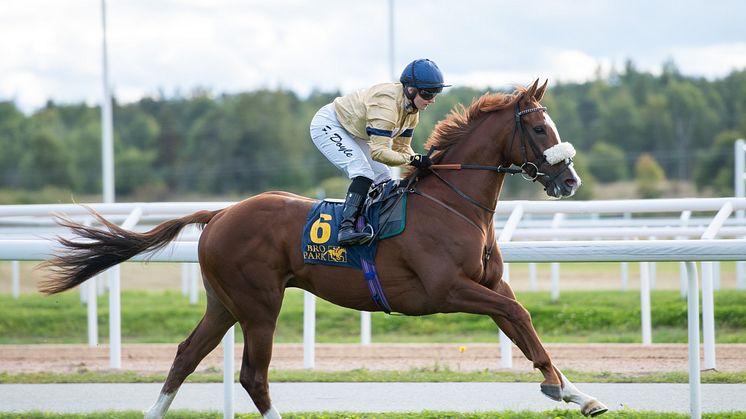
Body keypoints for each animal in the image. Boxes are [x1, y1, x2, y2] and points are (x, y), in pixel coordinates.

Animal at [40, 80, 608, 418]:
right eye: (539, 128)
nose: (570, 180)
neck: (453, 201)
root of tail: (219, 213)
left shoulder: (489, 284)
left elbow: (522, 325)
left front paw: (575, 392)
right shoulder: (446, 290)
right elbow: (518, 316)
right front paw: (561, 389)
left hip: (224, 302)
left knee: (185, 356)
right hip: (259, 304)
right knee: (253, 375)